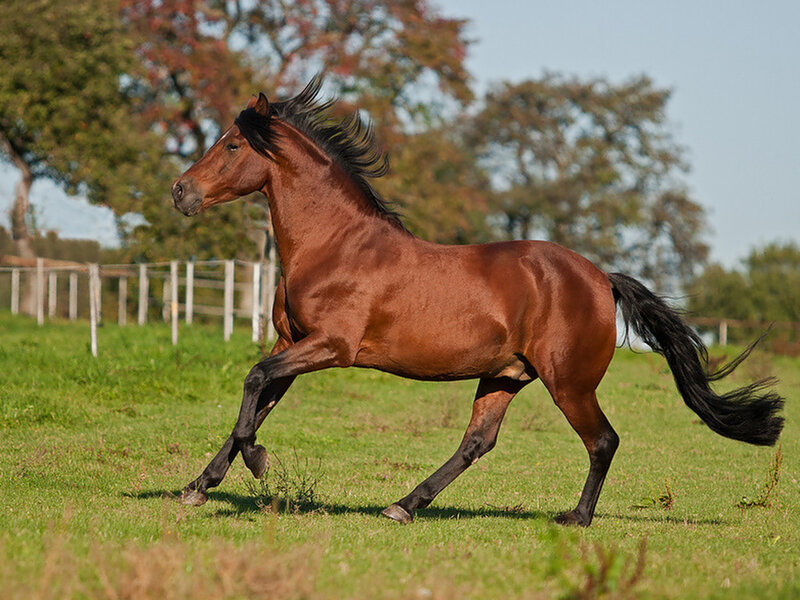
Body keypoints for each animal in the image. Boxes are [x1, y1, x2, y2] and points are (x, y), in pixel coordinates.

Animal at [170, 77, 784, 526]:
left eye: (231, 145)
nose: (180, 192)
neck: (335, 245)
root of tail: (599, 277)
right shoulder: (291, 342)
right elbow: (255, 402)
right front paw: (196, 487)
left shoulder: (330, 347)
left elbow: (253, 384)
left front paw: (257, 464)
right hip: (505, 375)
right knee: (478, 442)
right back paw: (404, 505)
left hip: (569, 383)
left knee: (602, 440)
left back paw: (575, 518)